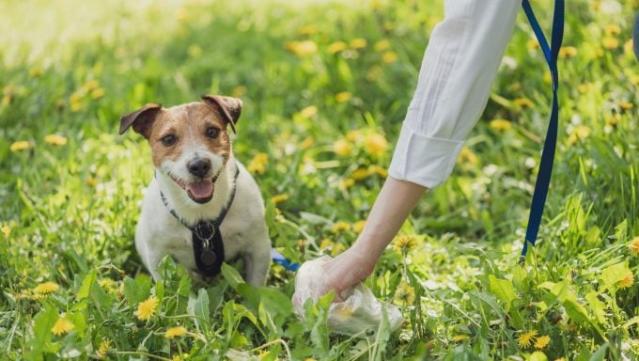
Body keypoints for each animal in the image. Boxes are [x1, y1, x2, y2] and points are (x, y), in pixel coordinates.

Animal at [120, 95, 272, 284]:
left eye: (212, 131)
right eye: (168, 139)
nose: (199, 165)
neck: (201, 214)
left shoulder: (258, 248)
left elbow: (256, 285)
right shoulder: (158, 258)